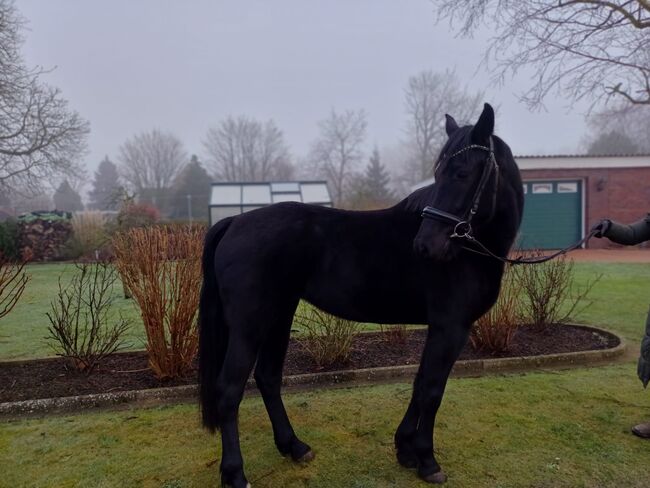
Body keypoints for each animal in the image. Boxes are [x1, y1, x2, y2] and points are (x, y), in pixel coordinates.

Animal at [197, 103, 520, 484]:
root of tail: (234, 221)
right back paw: (235, 473)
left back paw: (295, 447)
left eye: (462, 173)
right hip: (249, 325)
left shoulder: (442, 329)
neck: (469, 250)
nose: (425, 246)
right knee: (230, 390)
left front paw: (405, 449)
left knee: (268, 377)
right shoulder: (450, 327)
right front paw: (427, 461)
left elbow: (419, 382)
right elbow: (431, 389)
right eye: (440, 173)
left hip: (279, 315)